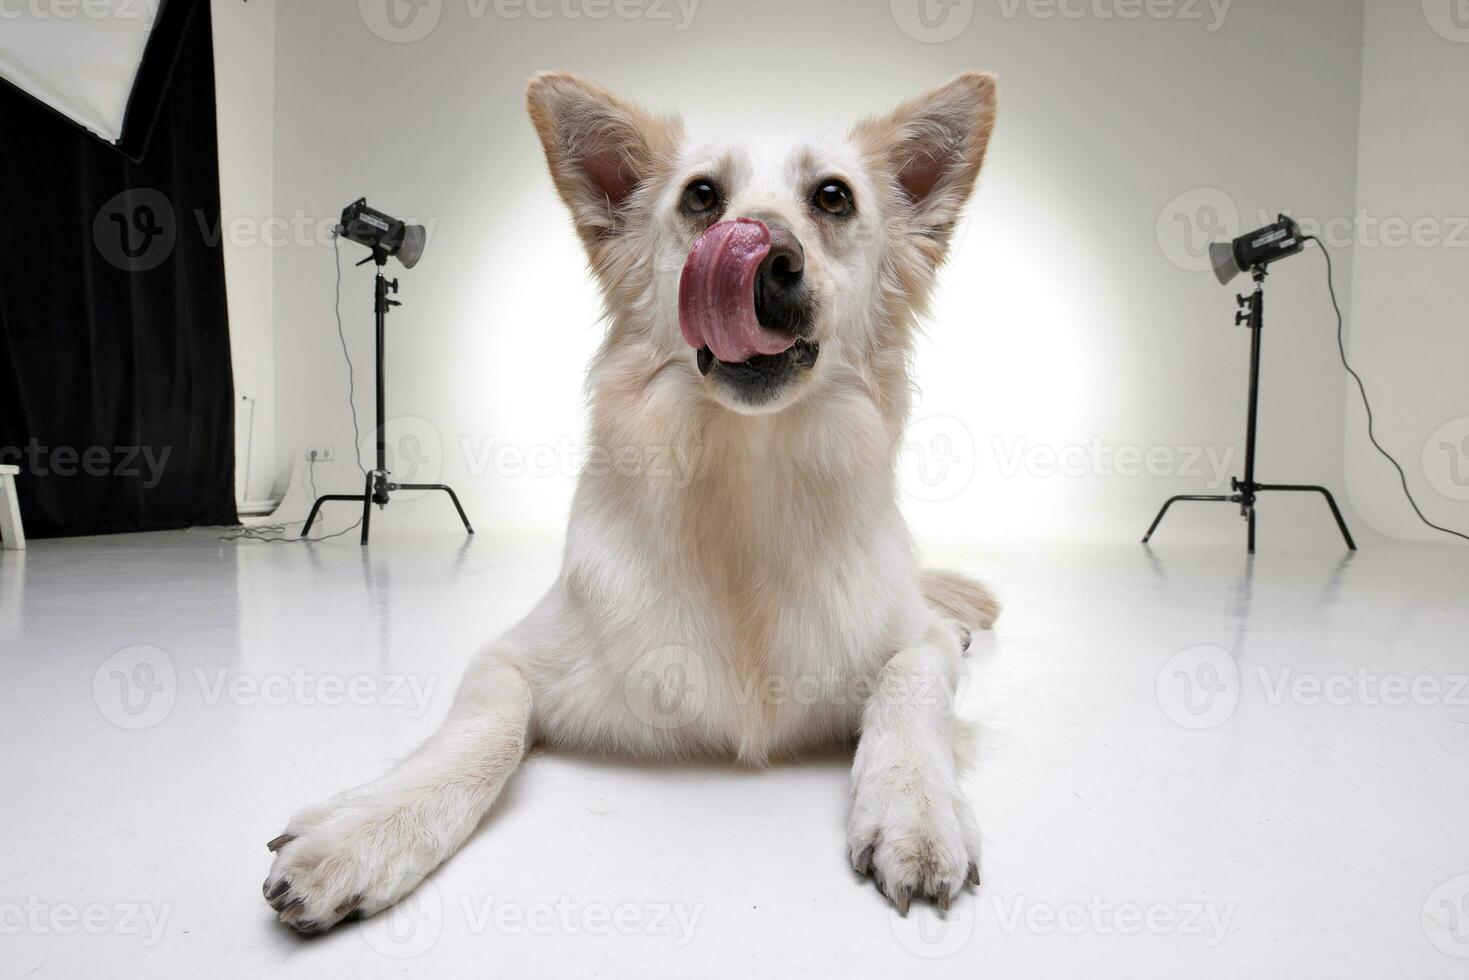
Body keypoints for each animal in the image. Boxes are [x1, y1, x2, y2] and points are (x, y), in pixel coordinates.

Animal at [261, 70, 998, 934]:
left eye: (832, 197)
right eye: (702, 195)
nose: (766, 259)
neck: (744, 489)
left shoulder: (912, 641)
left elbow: (908, 687)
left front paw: (915, 810)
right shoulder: (511, 656)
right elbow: (483, 729)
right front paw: (369, 827)